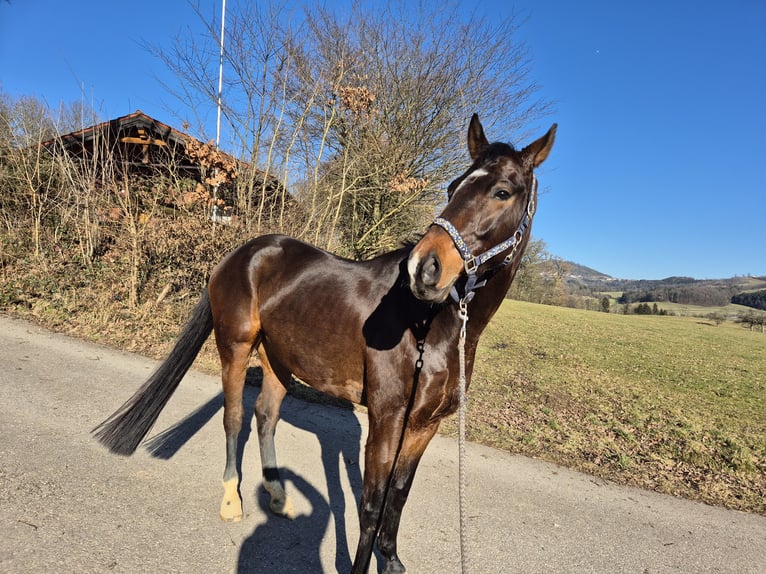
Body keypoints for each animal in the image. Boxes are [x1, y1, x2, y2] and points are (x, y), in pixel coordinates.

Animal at [94, 115, 560, 572]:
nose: (424, 268)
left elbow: (398, 495)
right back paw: (231, 500)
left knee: (266, 416)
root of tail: (243, 252)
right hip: (236, 345)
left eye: (502, 192)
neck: (428, 324)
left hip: (280, 356)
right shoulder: (387, 417)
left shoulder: (425, 424)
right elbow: (370, 504)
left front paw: (391, 560)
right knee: (234, 418)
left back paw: (278, 496)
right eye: (453, 187)